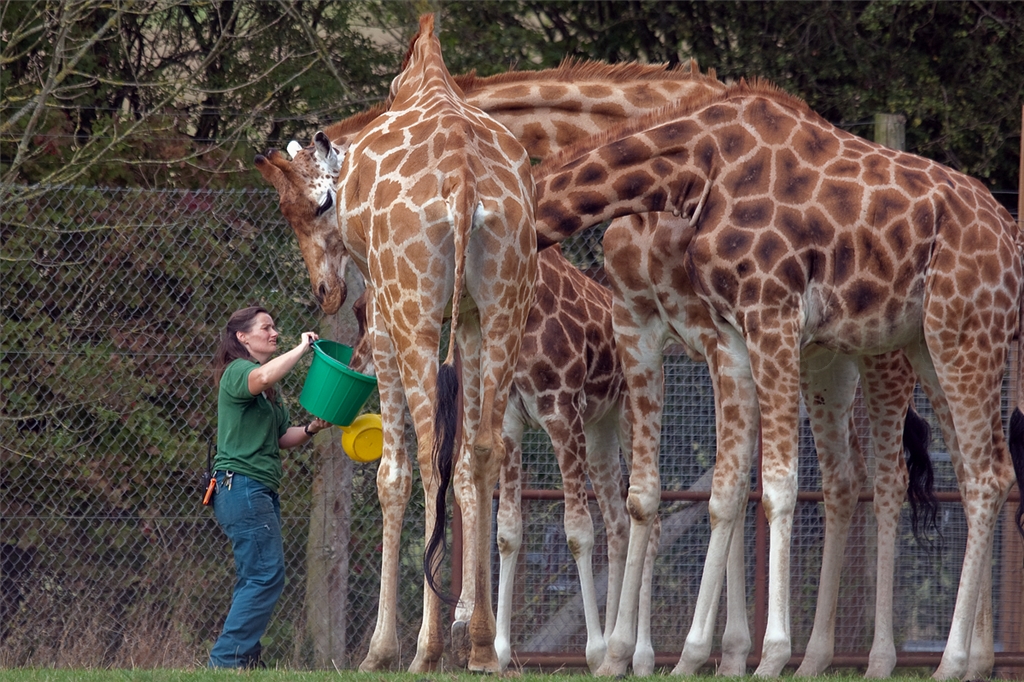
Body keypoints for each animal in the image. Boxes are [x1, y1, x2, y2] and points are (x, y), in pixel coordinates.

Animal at [256, 59, 944, 675]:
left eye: (320, 205)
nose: (330, 295)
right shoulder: (672, 330)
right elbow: (670, 491)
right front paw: (693, 651)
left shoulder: (707, 332)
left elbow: (689, 489)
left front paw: (655, 651)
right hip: (828, 365)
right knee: (843, 482)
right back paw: (815, 655)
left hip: (886, 358)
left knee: (892, 481)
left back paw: (878, 657)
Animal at [530, 79, 1024, 679]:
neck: (696, 166)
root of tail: (1012, 240)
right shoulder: (730, 335)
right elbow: (723, 490)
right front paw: (691, 656)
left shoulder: (770, 315)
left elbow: (778, 486)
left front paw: (765, 655)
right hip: (926, 345)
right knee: (944, 475)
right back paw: (963, 661)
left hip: (958, 336)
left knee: (975, 476)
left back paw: (940, 662)